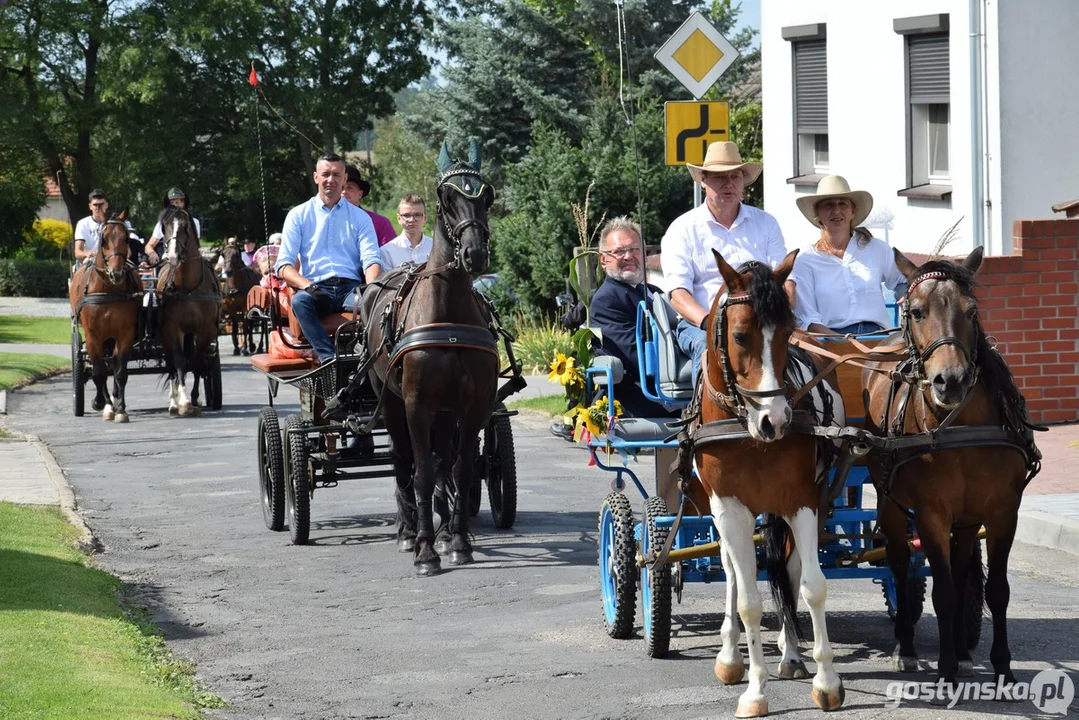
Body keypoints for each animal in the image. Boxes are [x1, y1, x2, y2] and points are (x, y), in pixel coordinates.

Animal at [67, 208, 141, 423]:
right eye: (104, 239)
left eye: (126, 238)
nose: (116, 273)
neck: (108, 289)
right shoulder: (93, 335)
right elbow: (99, 372)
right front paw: (103, 404)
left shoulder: (125, 333)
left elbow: (120, 371)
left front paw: (121, 409)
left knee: (113, 364)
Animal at [156, 205, 221, 414]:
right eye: (164, 226)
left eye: (186, 227)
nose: (173, 257)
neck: (188, 287)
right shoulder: (172, 328)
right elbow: (179, 361)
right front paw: (183, 400)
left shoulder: (205, 329)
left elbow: (197, 361)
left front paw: (194, 397)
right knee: (171, 363)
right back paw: (173, 401)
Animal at [362, 138, 496, 578]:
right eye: (447, 198)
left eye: (486, 197)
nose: (474, 254)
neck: (447, 311)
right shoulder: (416, 404)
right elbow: (419, 472)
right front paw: (424, 551)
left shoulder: (472, 405)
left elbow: (460, 469)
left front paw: (458, 541)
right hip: (390, 402)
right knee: (402, 461)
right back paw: (408, 531)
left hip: (444, 411)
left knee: (442, 463)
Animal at [690, 250, 841, 716]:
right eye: (740, 336)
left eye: (789, 332)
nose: (775, 419)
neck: (745, 429)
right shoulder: (728, 508)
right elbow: (748, 602)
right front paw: (755, 692)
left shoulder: (802, 500)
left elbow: (812, 587)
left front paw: (827, 681)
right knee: (731, 572)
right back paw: (729, 657)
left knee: (787, 572)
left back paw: (791, 654)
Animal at [858, 249, 1035, 690]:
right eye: (918, 312)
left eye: (971, 311)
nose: (950, 381)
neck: (960, 424)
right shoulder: (931, 514)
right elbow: (942, 592)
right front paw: (946, 666)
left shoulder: (1002, 510)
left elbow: (997, 590)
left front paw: (1000, 665)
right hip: (888, 501)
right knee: (900, 565)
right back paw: (906, 647)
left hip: (967, 519)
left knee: (959, 565)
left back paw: (963, 650)